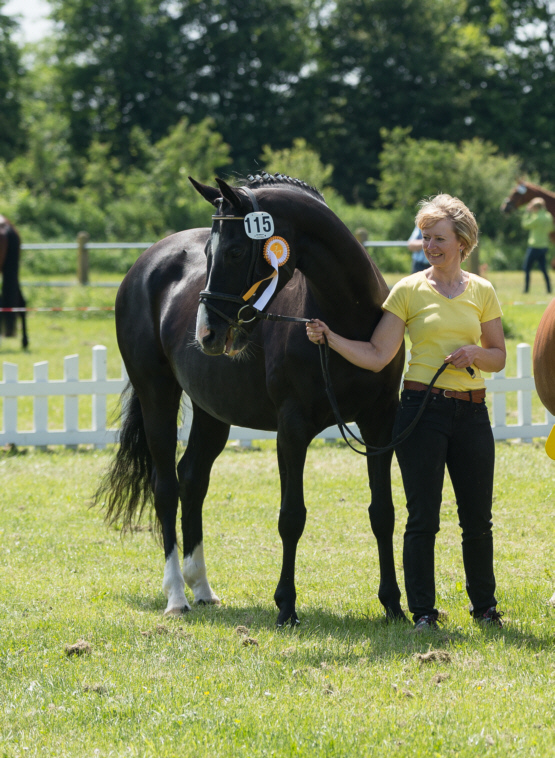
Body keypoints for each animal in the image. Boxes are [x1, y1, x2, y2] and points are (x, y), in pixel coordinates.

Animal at [96, 173, 406, 626]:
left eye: (236, 250)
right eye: (208, 253)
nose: (207, 333)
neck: (347, 319)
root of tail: (145, 263)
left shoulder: (379, 422)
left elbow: (382, 513)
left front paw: (393, 605)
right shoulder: (292, 430)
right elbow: (292, 517)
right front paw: (286, 606)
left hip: (212, 411)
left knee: (192, 479)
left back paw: (202, 587)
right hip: (157, 396)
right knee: (166, 486)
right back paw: (177, 595)